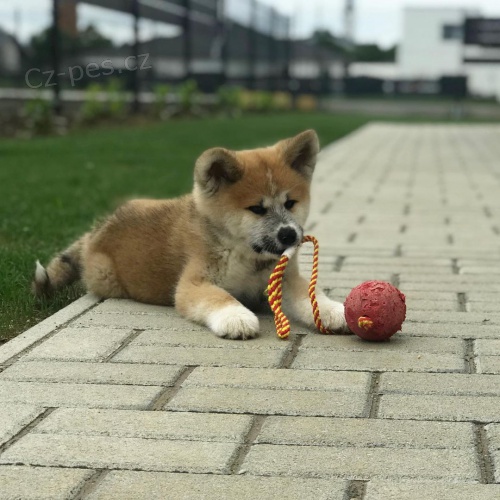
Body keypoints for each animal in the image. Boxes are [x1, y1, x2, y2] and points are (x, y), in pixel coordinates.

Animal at [34, 129, 348, 340]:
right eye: (257, 209)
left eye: (290, 203)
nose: (288, 235)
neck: (245, 255)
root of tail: (98, 229)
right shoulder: (193, 283)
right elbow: (218, 297)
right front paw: (235, 317)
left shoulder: (283, 280)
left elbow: (310, 295)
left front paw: (334, 311)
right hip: (106, 277)